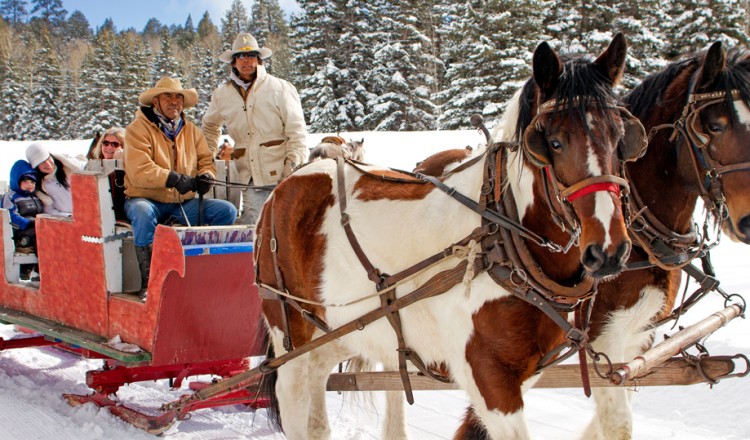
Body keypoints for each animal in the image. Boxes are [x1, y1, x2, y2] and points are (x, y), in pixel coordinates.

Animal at [256, 35, 644, 440]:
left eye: (621, 137)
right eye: (552, 143)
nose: (609, 250)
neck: (503, 240)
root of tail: (286, 185)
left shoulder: (527, 373)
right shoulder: (489, 378)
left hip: (338, 333)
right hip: (290, 336)